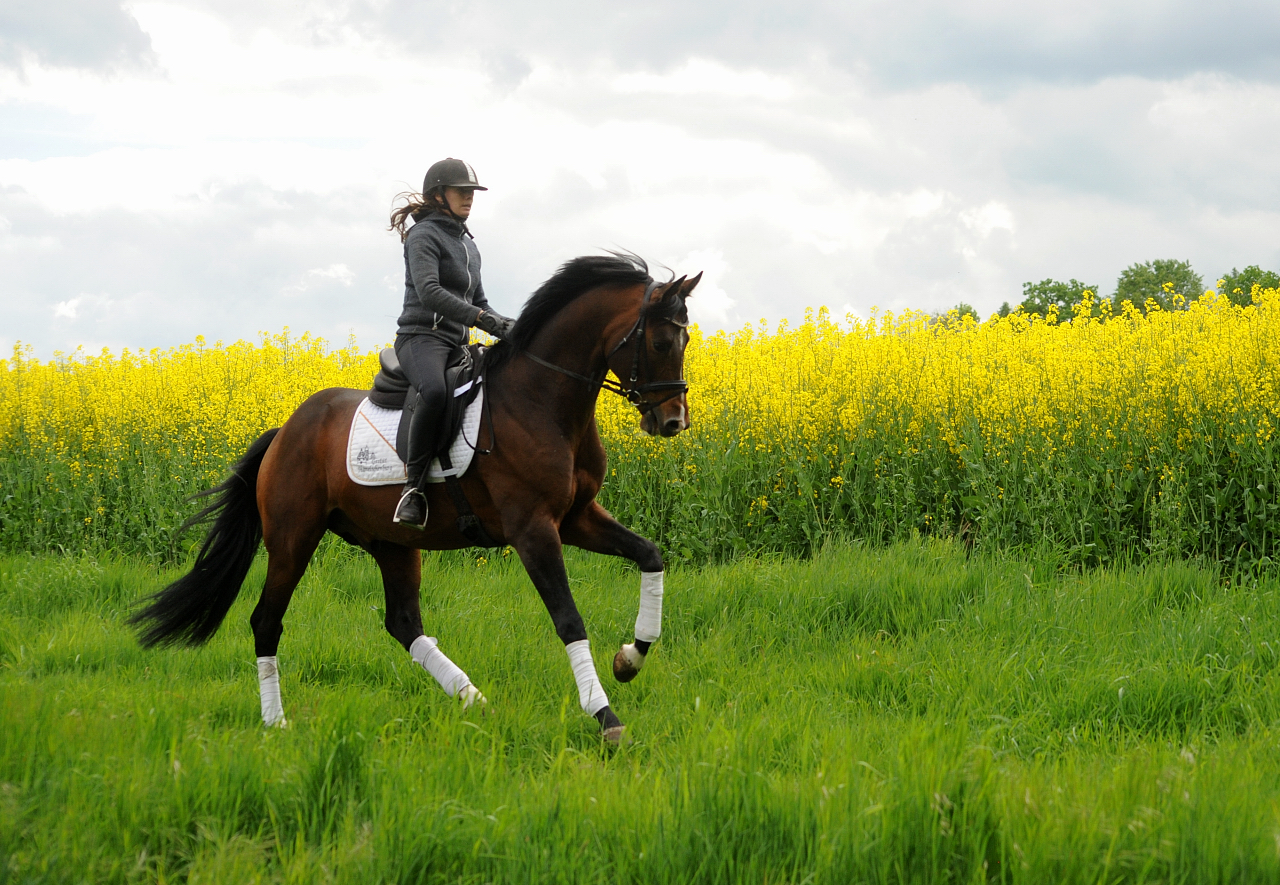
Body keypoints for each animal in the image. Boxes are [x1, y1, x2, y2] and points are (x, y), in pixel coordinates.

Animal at [129, 254, 701, 742]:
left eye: (685, 340)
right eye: (660, 343)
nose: (673, 421)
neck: (542, 399)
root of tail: (286, 430)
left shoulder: (576, 518)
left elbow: (650, 554)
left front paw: (630, 659)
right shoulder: (533, 529)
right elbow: (568, 618)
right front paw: (606, 717)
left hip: (393, 542)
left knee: (403, 623)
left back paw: (476, 701)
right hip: (293, 540)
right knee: (267, 621)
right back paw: (277, 723)